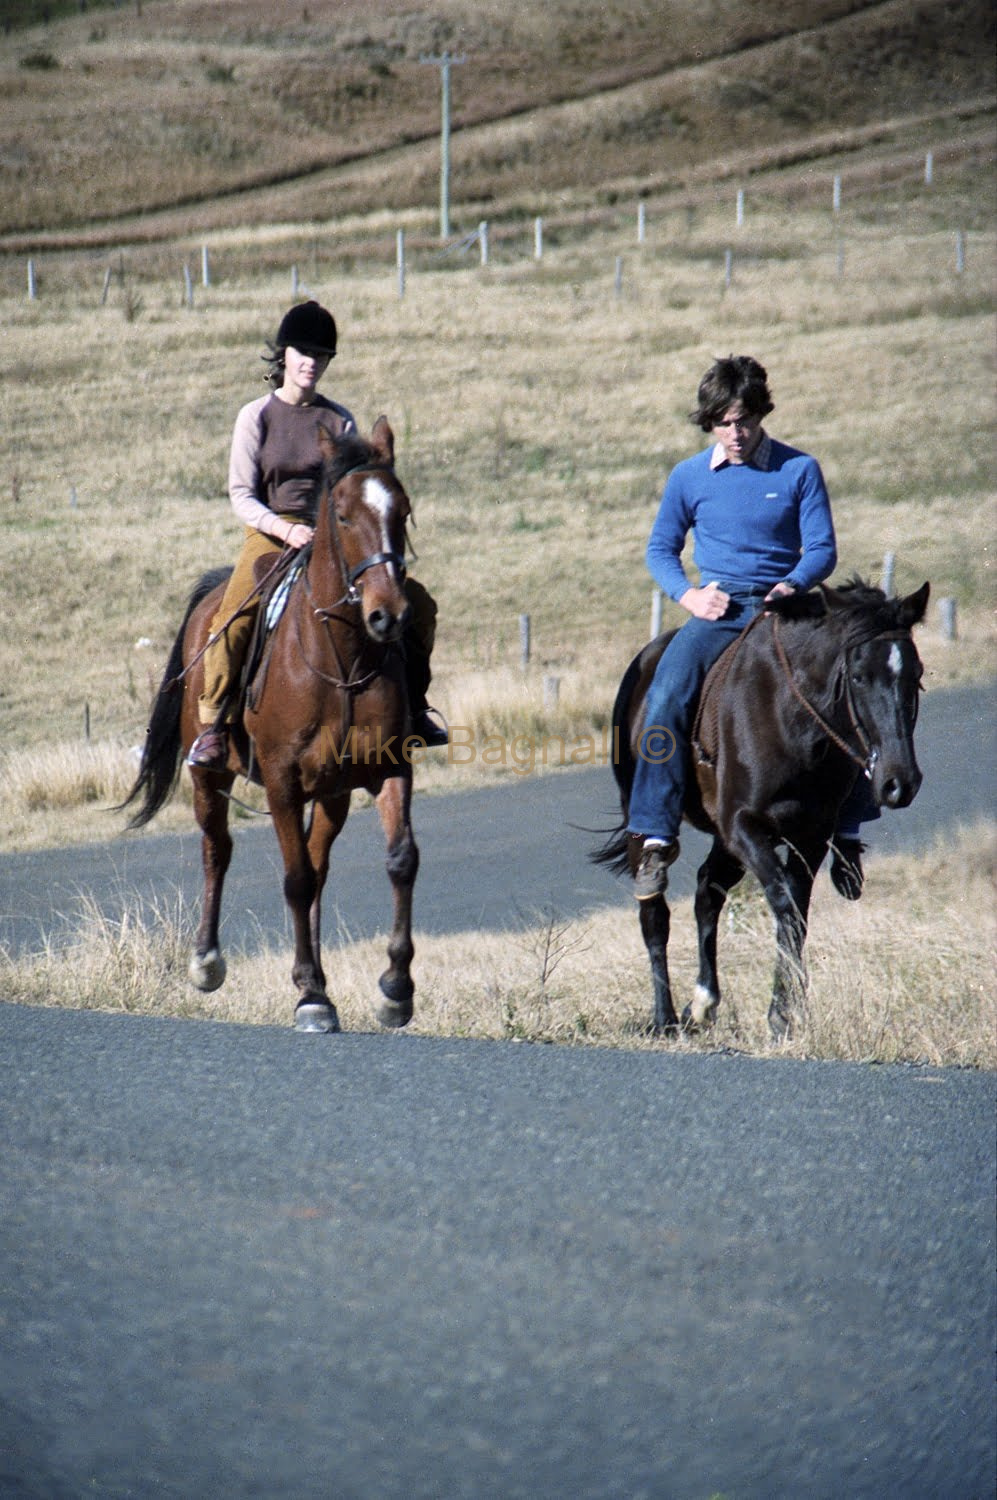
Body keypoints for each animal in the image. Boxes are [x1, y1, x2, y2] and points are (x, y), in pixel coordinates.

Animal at [122, 417, 422, 1038]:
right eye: (342, 515)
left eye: (402, 510)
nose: (390, 615)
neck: (342, 661)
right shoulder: (282, 782)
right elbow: (295, 878)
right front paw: (311, 997)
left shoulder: (389, 769)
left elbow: (400, 859)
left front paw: (395, 989)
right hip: (209, 778)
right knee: (219, 848)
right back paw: (207, 961)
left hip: (332, 793)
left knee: (318, 861)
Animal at [593, 579, 929, 1038]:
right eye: (859, 676)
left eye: (917, 675)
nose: (900, 782)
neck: (790, 717)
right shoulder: (743, 825)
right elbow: (783, 904)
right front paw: (784, 1014)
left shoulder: (810, 835)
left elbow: (797, 915)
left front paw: (788, 1011)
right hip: (650, 824)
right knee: (655, 911)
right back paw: (664, 1017)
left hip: (726, 841)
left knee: (707, 891)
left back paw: (703, 1002)